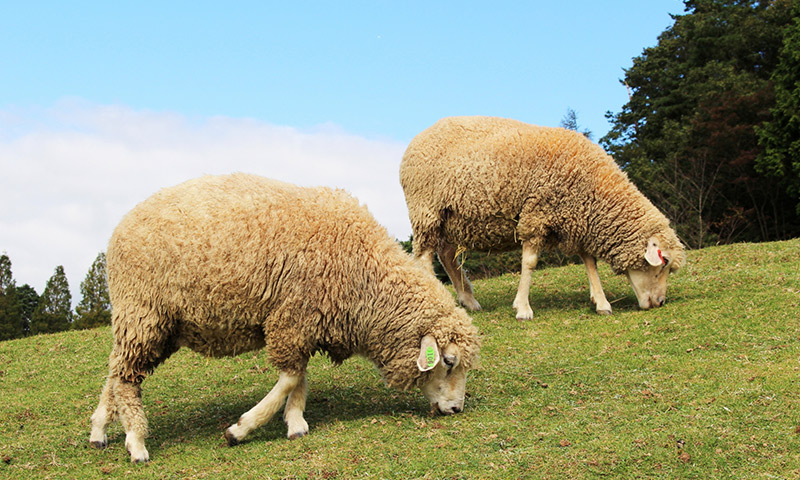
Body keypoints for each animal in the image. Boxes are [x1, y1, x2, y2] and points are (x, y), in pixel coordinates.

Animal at [87, 172, 478, 462]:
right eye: (448, 361)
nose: (456, 409)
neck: (364, 277)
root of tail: (120, 226)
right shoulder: (291, 316)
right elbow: (289, 379)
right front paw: (241, 429)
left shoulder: (305, 320)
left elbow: (298, 377)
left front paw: (295, 421)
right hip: (144, 312)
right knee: (126, 380)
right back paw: (136, 441)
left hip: (155, 324)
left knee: (115, 371)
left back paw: (99, 430)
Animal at [400, 115, 688, 320]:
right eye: (662, 263)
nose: (660, 303)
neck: (594, 189)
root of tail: (417, 138)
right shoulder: (536, 214)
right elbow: (529, 263)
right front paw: (523, 308)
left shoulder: (576, 219)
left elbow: (589, 262)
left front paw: (601, 302)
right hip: (427, 211)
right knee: (424, 258)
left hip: (453, 219)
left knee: (447, 255)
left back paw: (468, 300)